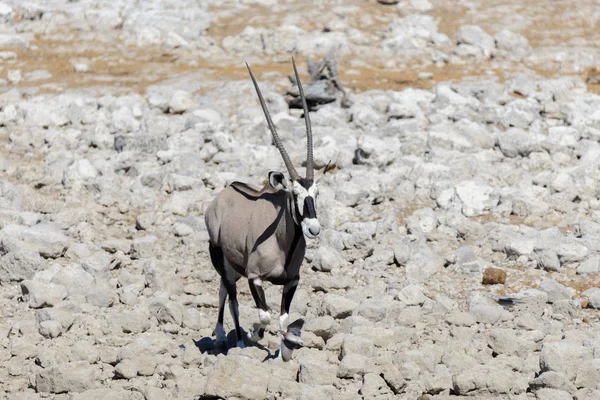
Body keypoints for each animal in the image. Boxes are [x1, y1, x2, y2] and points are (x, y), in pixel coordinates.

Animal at [204, 58, 324, 360]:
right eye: (294, 194)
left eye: (316, 194)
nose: (313, 228)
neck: (282, 242)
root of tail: (222, 195)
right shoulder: (255, 278)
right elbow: (265, 315)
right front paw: (253, 335)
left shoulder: (292, 281)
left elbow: (282, 318)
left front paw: (286, 348)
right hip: (222, 261)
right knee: (230, 297)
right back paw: (233, 339)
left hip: (233, 267)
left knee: (224, 291)